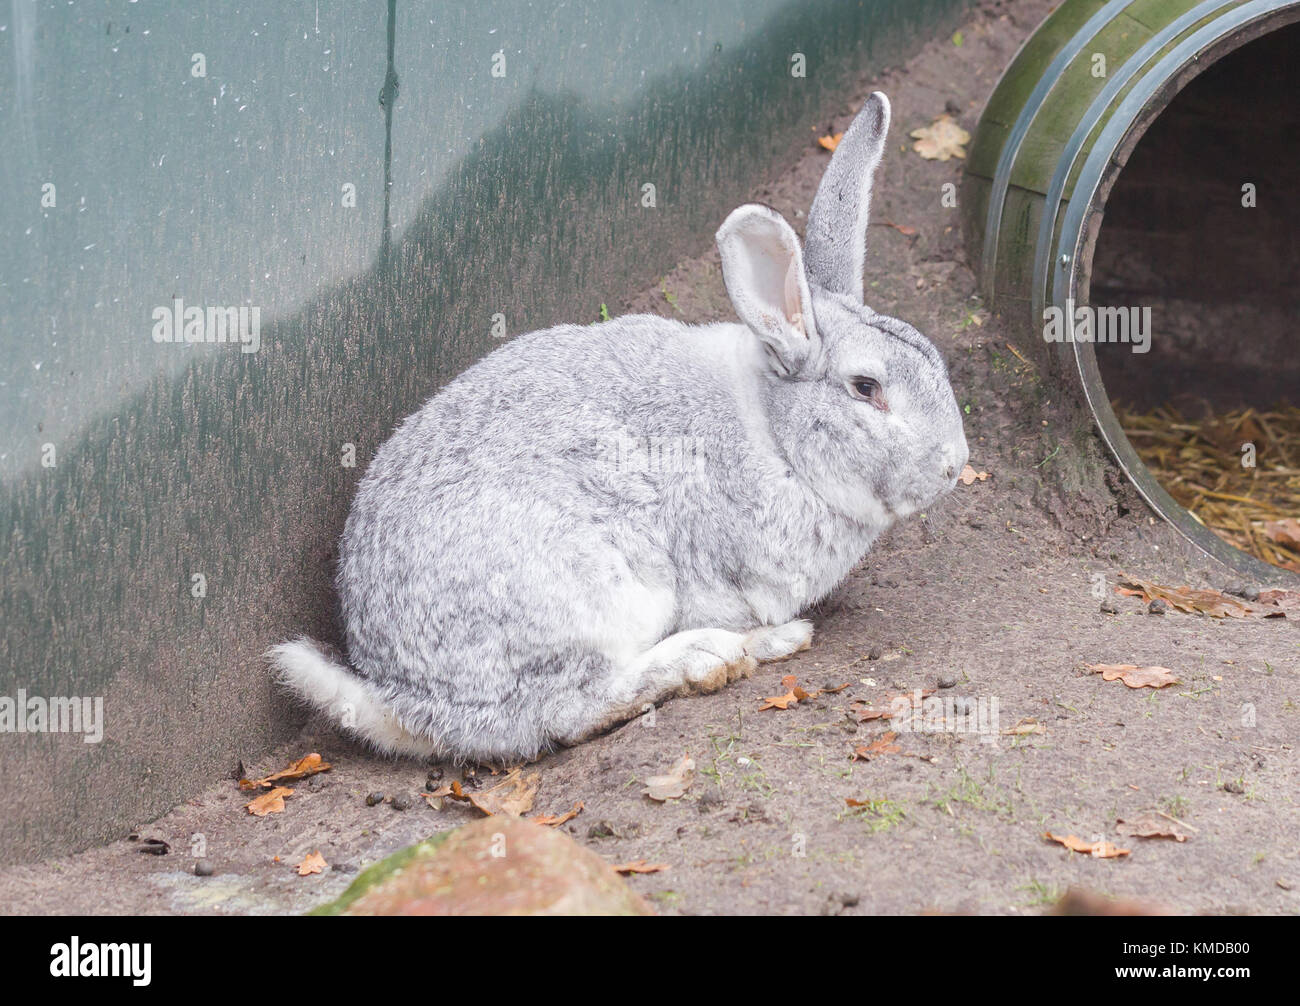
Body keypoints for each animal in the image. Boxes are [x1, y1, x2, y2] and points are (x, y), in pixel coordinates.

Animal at [268, 92, 969, 762]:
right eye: (867, 389)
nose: (954, 465)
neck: (777, 438)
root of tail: (413, 707)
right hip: (599, 591)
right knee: (571, 708)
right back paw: (723, 655)